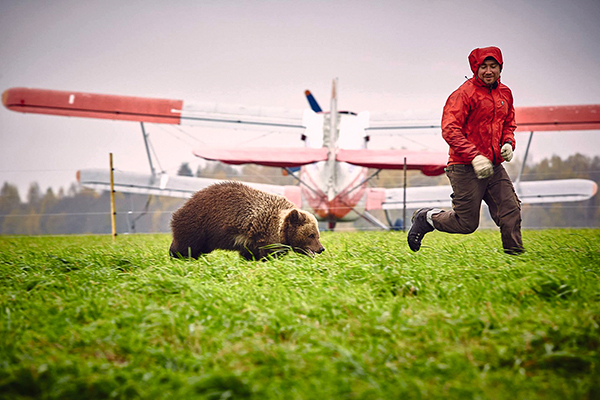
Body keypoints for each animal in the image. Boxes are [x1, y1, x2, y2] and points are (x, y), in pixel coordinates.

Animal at [169, 180, 326, 260]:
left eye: (317, 235)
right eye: (311, 235)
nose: (321, 249)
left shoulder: (251, 242)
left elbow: (251, 254)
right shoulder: (262, 236)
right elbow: (267, 254)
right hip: (199, 224)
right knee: (187, 245)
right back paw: (178, 256)